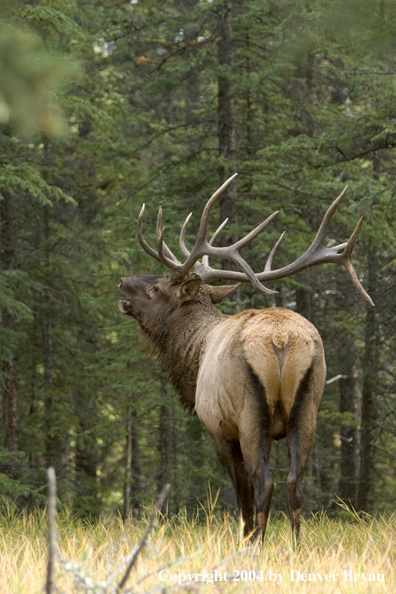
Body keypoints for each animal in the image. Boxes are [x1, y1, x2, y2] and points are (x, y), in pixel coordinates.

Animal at [117, 172, 372, 540]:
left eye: (155, 289)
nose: (122, 281)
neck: (193, 359)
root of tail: (281, 339)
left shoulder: (219, 427)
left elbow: (242, 495)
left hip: (251, 413)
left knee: (264, 484)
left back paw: (256, 545)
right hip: (307, 408)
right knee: (295, 483)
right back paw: (295, 546)